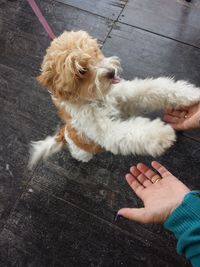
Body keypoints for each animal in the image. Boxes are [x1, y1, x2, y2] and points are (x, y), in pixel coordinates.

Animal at [28, 30, 200, 169]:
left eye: (95, 51)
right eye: (81, 70)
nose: (111, 72)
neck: (97, 98)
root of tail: (63, 133)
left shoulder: (126, 96)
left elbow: (151, 88)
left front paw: (190, 94)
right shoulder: (104, 129)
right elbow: (129, 132)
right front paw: (160, 135)